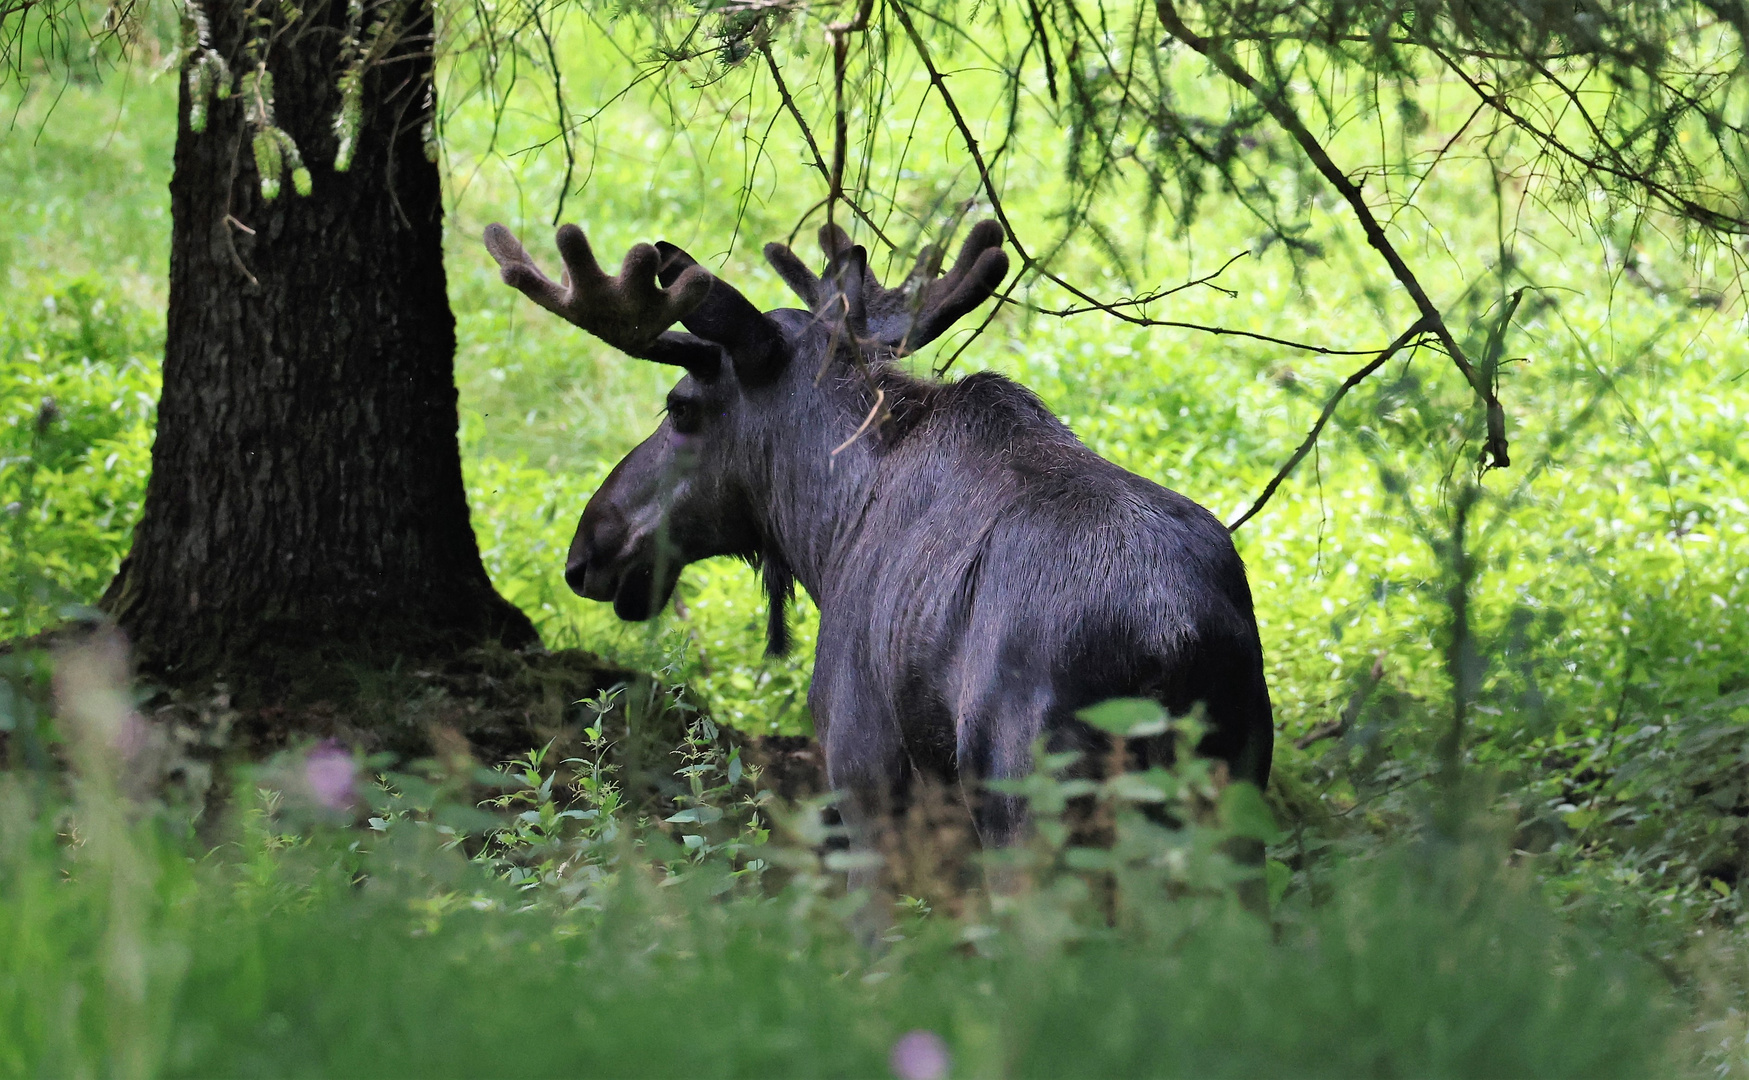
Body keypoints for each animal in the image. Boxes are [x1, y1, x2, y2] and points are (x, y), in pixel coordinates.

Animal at [479, 214, 1273, 857]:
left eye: (679, 406)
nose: (589, 548)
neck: (824, 533)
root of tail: (1174, 639)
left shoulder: (861, 769)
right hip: (1233, 802)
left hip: (1029, 804)